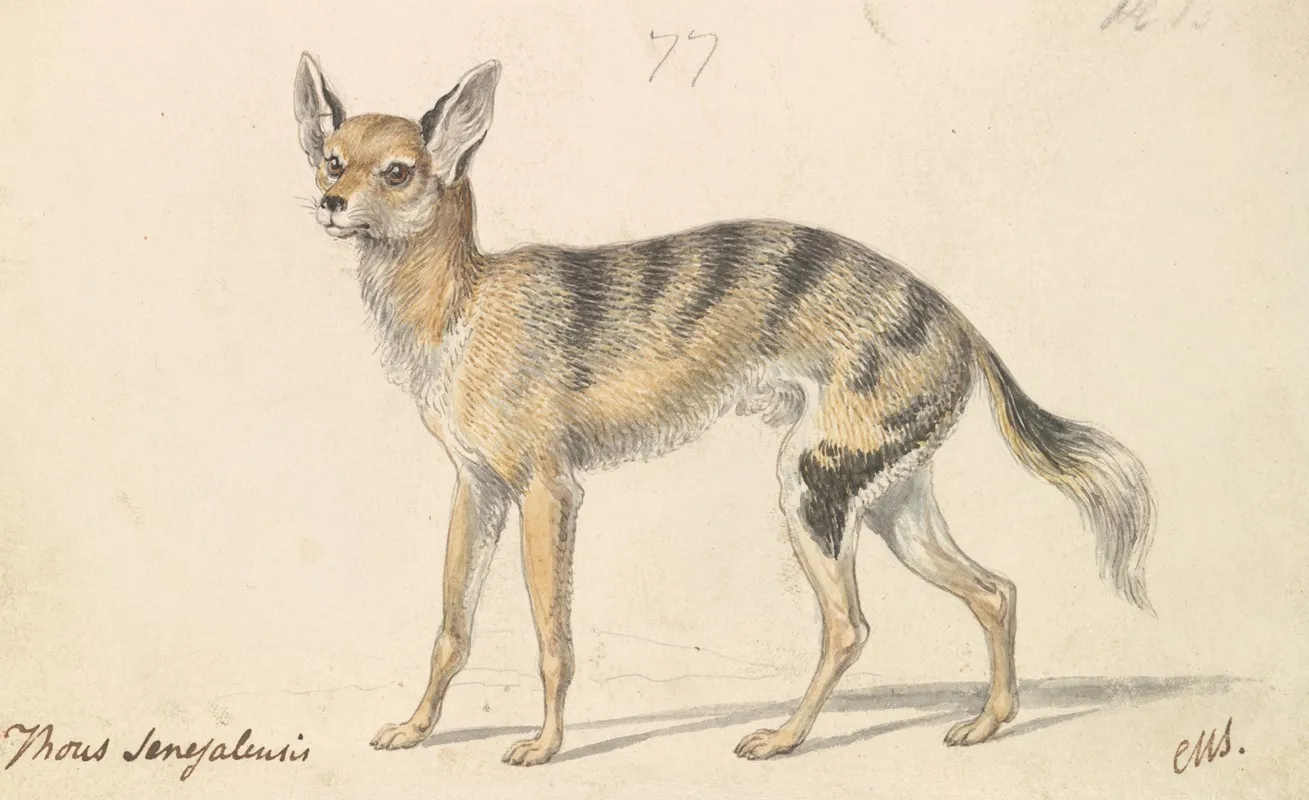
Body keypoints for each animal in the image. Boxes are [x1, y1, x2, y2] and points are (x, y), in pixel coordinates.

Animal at [292, 53, 1155, 766]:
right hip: (891, 504)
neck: (463, 306)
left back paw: (784, 738)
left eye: (397, 171)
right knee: (993, 590)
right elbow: (452, 628)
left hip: (810, 490)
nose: (330, 203)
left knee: (849, 626)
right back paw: (987, 723)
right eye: (332, 160)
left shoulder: (548, 491)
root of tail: (960, 324)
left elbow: (550, 636)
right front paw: (414, 730)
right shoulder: (477, 491)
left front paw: (544, 746)